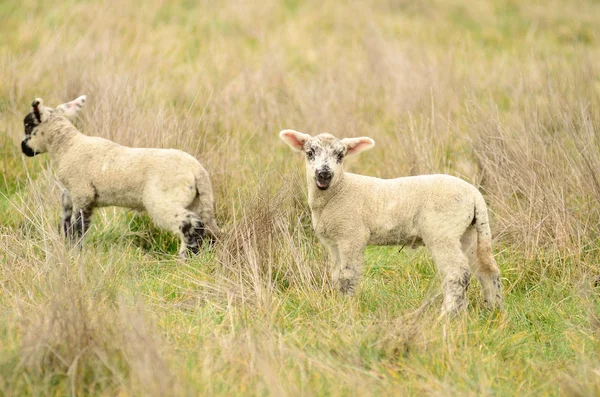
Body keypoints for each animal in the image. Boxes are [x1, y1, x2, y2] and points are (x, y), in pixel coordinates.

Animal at [21, 96, 223, 256]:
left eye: (28, 125)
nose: (23, 148)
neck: (67, 146)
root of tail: (198, 171)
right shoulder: (69, 196)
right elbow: (67, 226)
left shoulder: (82, 194)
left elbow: (79, 228)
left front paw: (76, 253)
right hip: (197, 201)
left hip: (164, 200)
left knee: (191, 225)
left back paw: (183, 259)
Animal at [280, 130, 502, 316]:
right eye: (310, 152)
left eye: (340, 156)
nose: (324, 174)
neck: (339, 190)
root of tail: (474, 194)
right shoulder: (334, 242)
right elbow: (336, 275)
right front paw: (337, 304)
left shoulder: (352, 236)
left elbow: (348, 276)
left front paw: (347, 307)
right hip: (469, 232)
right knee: (487, 269)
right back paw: (493, 310)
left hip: (442, 231)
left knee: (457, 272)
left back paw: (447, 314)